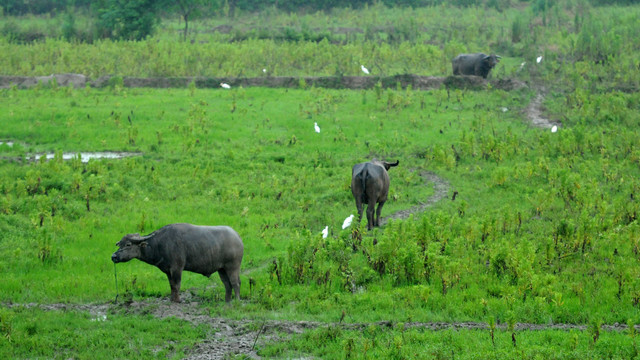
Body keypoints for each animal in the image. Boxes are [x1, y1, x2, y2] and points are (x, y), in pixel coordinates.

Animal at [111, 224, 244, 302]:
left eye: (128, 244)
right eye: (120, 244)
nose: (114, 256)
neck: (159, 244)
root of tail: (237, 237)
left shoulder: (177, 268)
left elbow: (177, 284)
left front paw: (177, 300)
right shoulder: (167, 271)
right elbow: (171, 285)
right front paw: (172, 299)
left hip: (233, 266)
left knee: (235, 283)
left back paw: (237, 301)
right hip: (222, 269)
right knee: (227, 284)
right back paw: (227, 301)